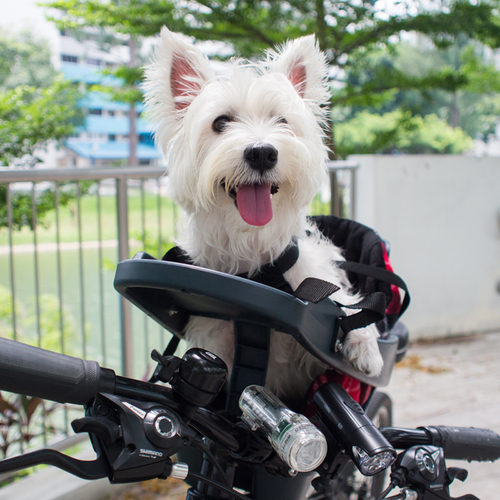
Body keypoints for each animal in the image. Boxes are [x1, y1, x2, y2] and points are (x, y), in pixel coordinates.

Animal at [145, 28, 382, 406]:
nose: (261, 153)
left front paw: (367, 352)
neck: (253, 254)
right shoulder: (219, 341)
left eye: (282, 120)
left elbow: (348, 311)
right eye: (220, 122)